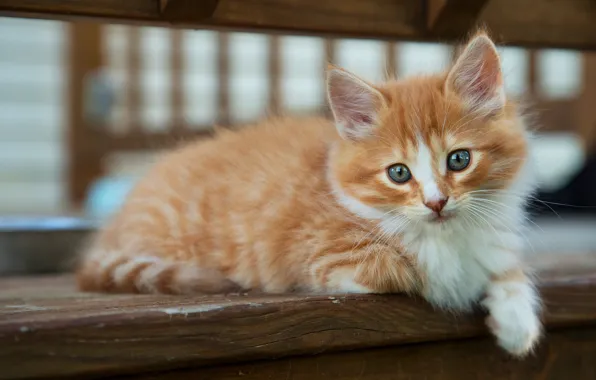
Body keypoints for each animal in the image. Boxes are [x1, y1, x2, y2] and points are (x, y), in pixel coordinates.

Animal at [78, 32, 540, 356]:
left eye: (459, 160)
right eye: (398, 173)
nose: (436, 202)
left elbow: (505, 268)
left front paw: (516, 319)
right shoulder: (324, 253)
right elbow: (419, 271)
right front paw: (454, 280)